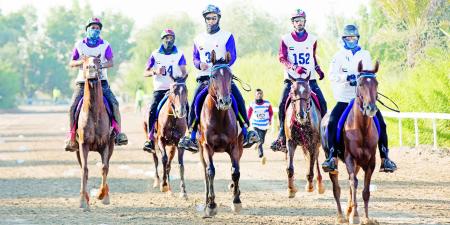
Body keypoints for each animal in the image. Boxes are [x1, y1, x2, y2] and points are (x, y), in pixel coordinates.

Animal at [200, 50, 244, 217]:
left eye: (231, 76)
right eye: (213, 76)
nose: (225, 102)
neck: (219, 117)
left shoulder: (234, 146)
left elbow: (235, 172)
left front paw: (236, 201)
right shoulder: (207, 147)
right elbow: (211, 172)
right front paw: (211, 205)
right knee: (205, 173)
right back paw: (206, 201)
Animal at [322, 60, 382, 224]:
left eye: (376, 83)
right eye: (360, 83)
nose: (371, 108)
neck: (362, 129)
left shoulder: (371, 162)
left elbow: (365, 190)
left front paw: (366, 218)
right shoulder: (350, 158)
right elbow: (353, 183)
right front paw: (355, 216)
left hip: (358, 164)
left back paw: (348, 211)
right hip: (332, 160)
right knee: (337, 187)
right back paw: (341, 216)